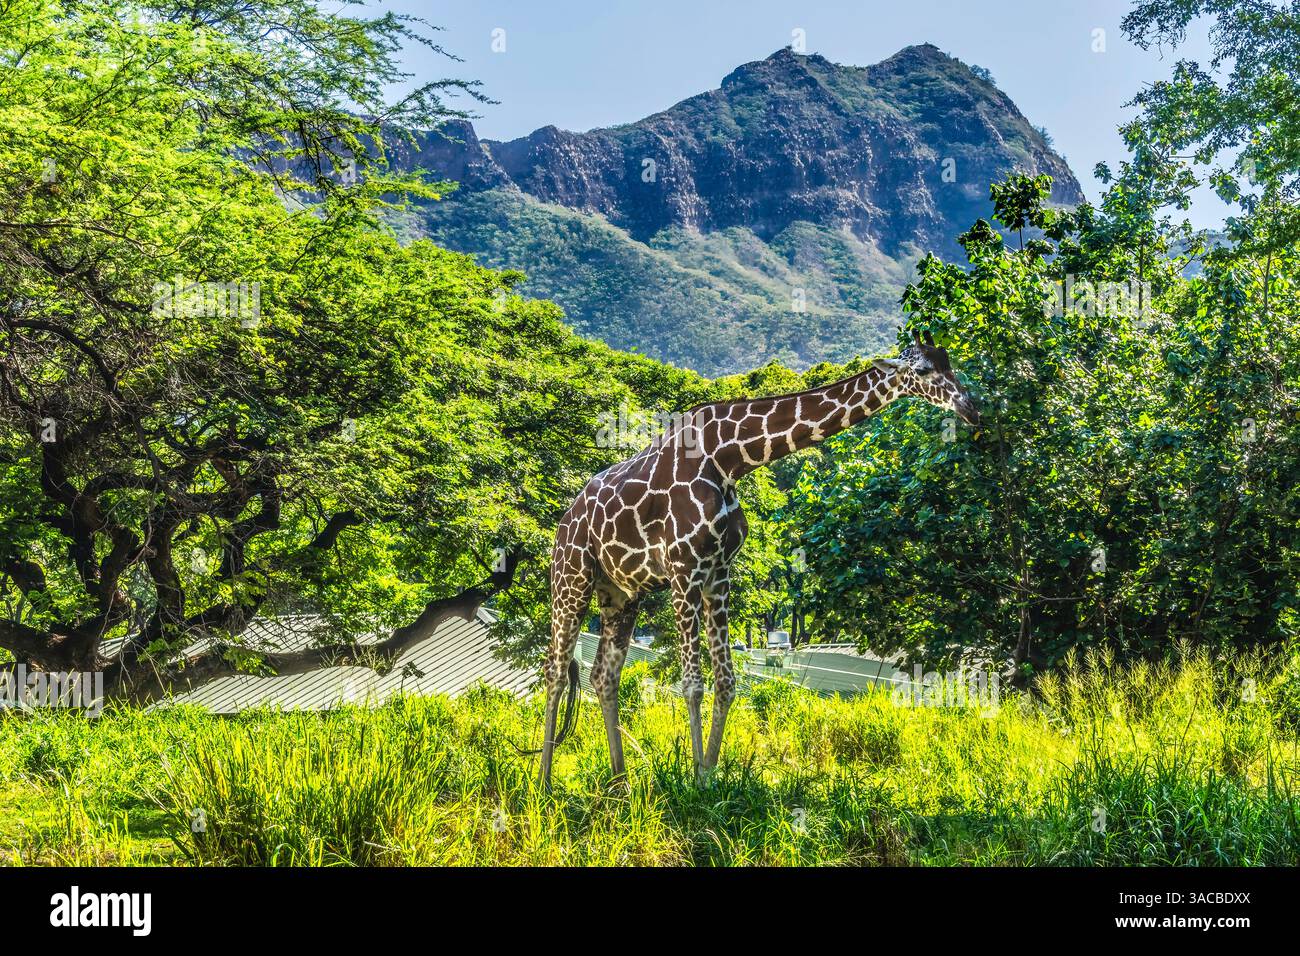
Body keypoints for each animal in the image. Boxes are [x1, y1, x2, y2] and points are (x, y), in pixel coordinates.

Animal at [538, 330, 980, 786]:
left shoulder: (718, 573)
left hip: (620, 594)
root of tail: (564, 521)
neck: (730, 458)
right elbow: (692, 683)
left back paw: (621, 784)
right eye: (923, 370)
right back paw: (545, 782)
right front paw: (693, 782)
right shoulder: (683, 569)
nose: (972, 409)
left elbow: (726, 681)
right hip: (571, 579)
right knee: (555, 670)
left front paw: (708, 775)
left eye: (950, 362)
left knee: (602, 676)